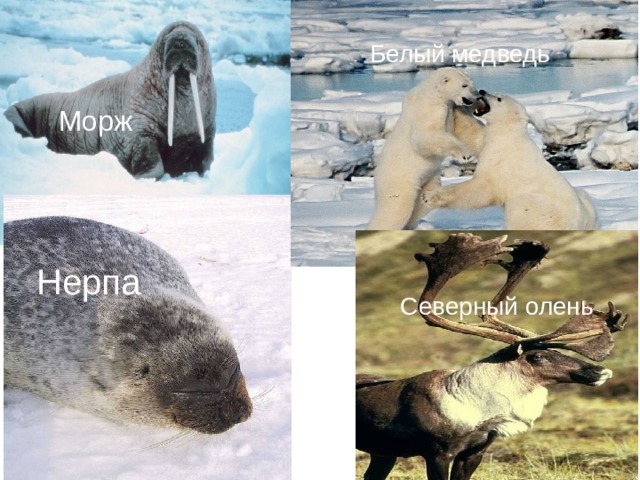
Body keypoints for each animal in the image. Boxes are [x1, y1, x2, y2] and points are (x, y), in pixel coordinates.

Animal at [356, 233, 628, 480]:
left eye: (557, 350)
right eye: (537, 356)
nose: (601, 371)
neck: (477, 409)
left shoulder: (475, 452)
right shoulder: (437, 453)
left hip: (384, 453)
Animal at [367, 67, 484, 230]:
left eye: (471, 82)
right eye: (464, 85)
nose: (478, 95)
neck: (433, 93)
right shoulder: (428, 109)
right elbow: (425, 137)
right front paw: (465, 155)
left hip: (428, 179)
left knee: (421, 205)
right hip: (399, 181)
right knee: (396, 208)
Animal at [421, 93, 599, 230]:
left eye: (499, 98)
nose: (482, 91)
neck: (508, 135)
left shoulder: (502, 160)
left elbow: (482, 190)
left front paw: (429, 197)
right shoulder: (490, 139)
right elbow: (475, 135)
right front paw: (457, 107)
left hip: (541, 210)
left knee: (521, 209)